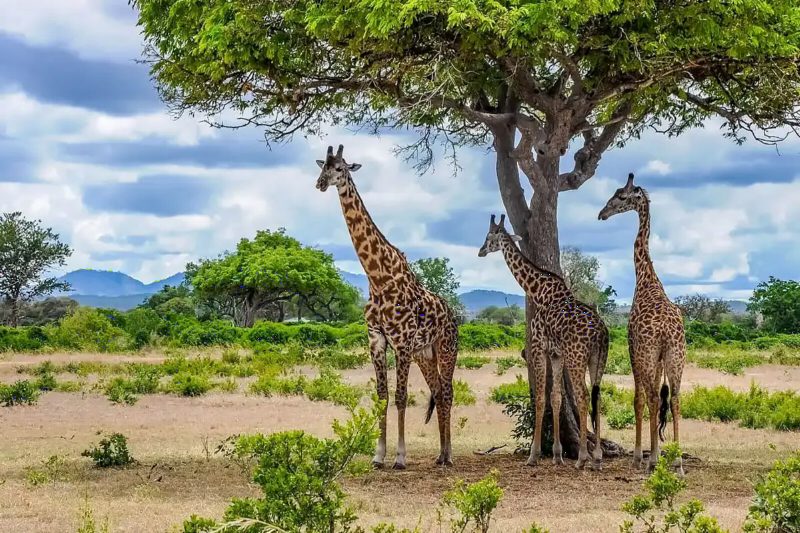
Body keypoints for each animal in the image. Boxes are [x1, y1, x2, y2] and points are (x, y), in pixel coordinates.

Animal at [315, 145, 459, 469]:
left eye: (341, 168)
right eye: (322, 167)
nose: (320, 184)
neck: (378, 279)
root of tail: (453, 314)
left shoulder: (402, 343)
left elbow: (401, 396)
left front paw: (400, 457)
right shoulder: (377, 340)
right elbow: (382, 395)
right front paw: (378, 455)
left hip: (446, 348)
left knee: (447, 391)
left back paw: (449, 455)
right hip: (425, 353)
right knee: (437, 391)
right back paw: (440, 454)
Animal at [478, 214, 608, 470]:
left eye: (489, 237)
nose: (480, 251)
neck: (537, 291)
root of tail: (601, 333)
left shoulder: (538, 347)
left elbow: (539, 397)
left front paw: (533, 455)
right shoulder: (556, 353)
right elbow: (555, 398)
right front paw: (557, 455)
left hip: (577, 357)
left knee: (583, 395)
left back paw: (582, 458)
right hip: (598, 359)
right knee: (597, 395)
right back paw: (597, 457)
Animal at [599, 173, 686, 474]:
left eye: (621, 197)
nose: (602, 213)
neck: (646, 279)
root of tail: (666, 332)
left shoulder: (632, 347)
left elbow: (638, 400)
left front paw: (640, 455)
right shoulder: (657, 358)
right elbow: (656, 398)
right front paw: (655, 453)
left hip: (649, 354)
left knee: (652, 397)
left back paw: (653, 461)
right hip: (676, 356)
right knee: (674, 398)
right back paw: (678, 462)